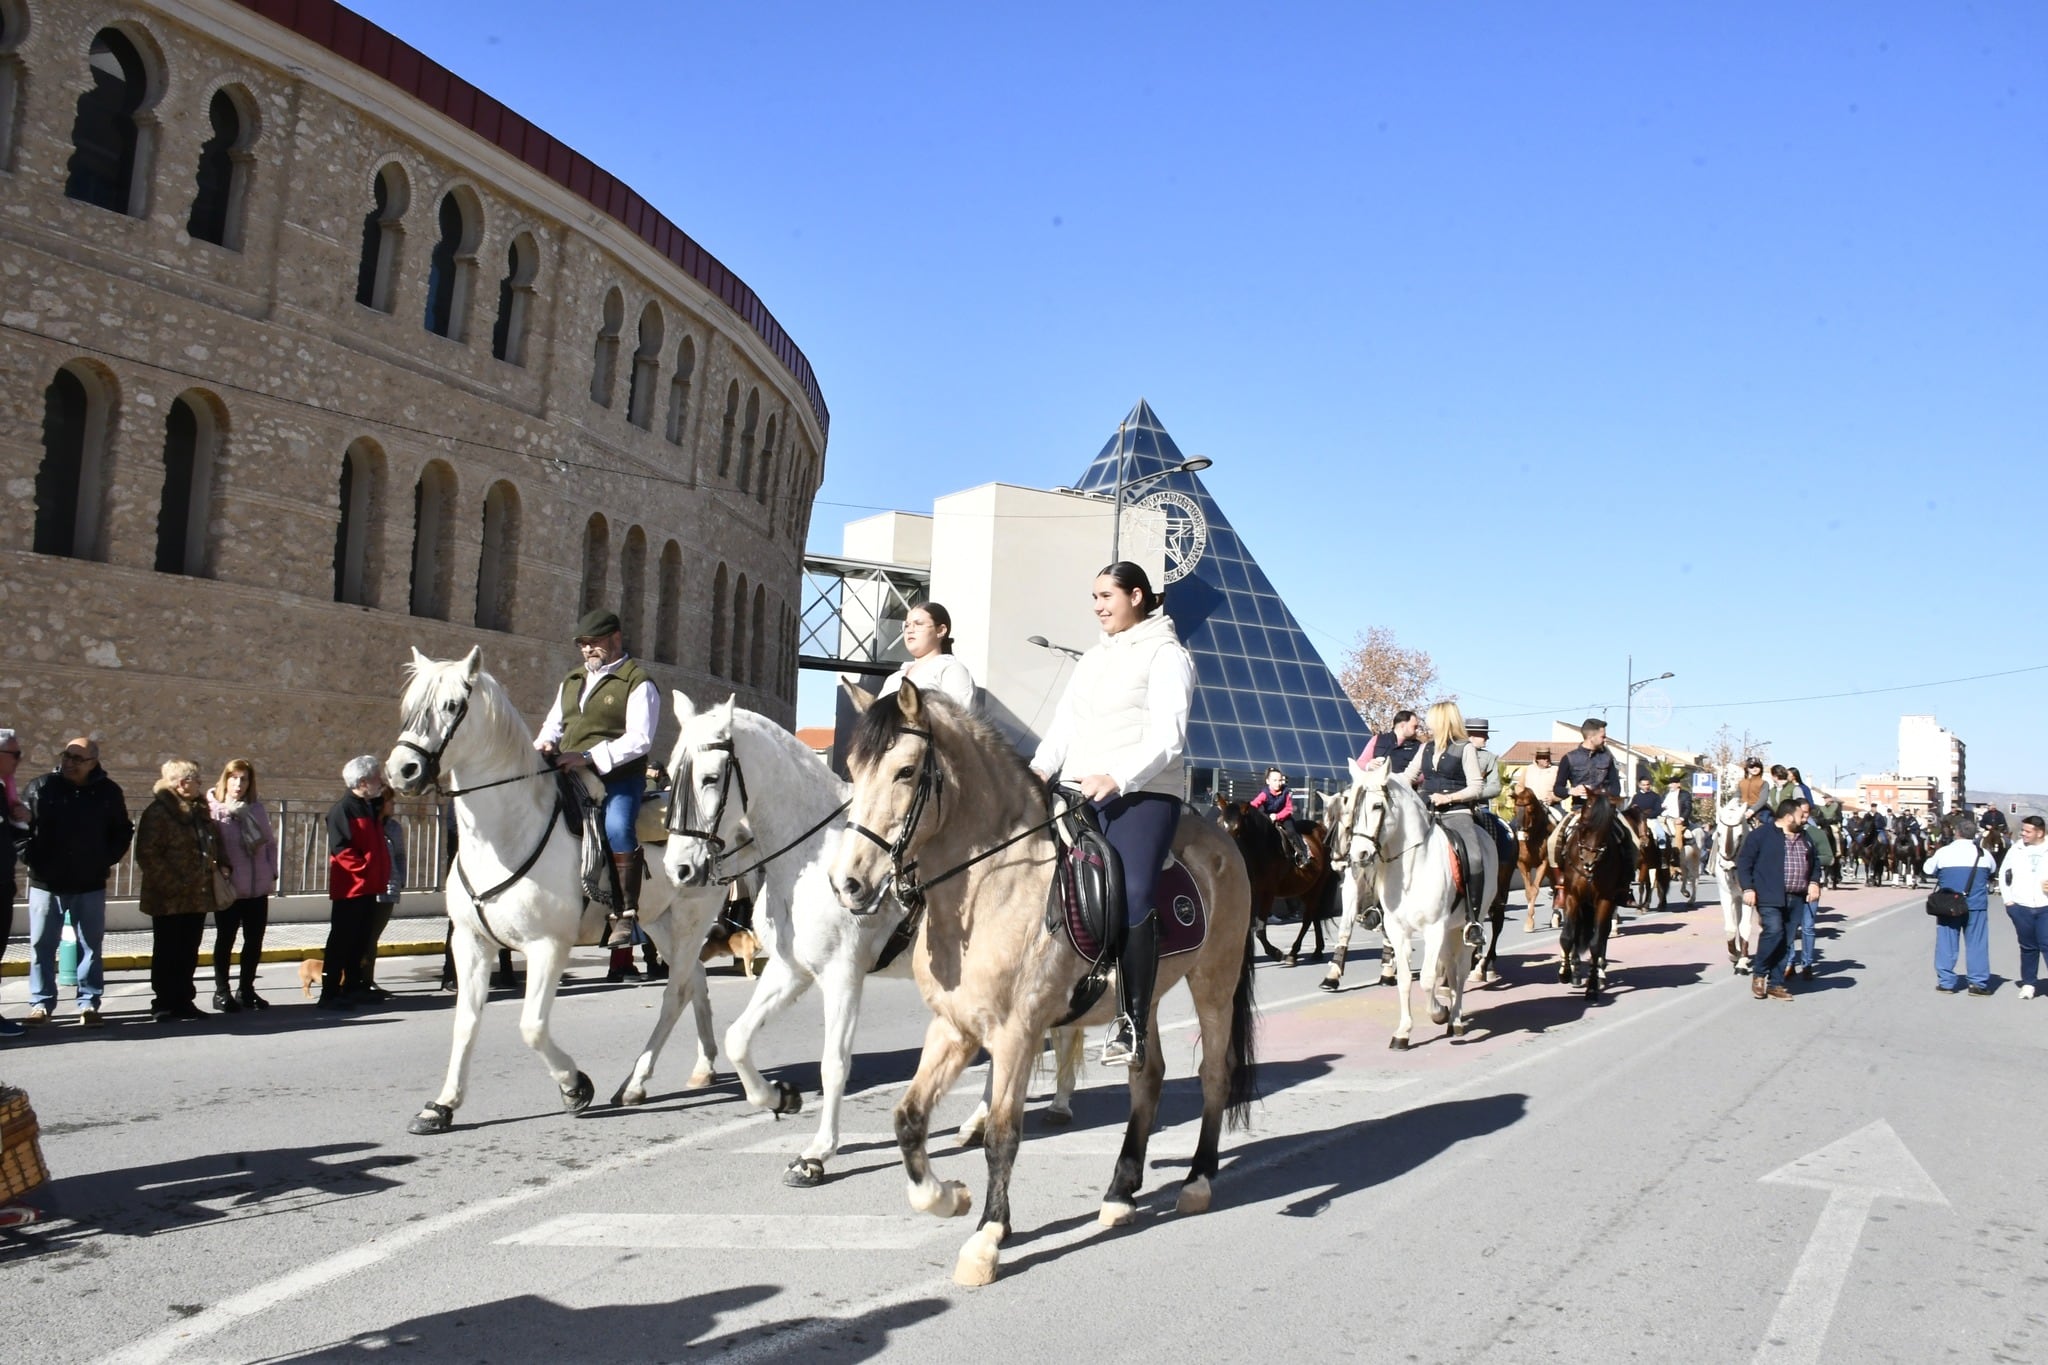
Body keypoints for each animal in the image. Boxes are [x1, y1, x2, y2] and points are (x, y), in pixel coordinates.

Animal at [387, 650, 724, 1129]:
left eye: (452, 705)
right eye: (410, 704)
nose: (403, 770)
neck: (506, 832)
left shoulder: (547, 945)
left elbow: (531, 1026)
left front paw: (575, 1087)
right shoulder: (471, 942)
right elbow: (466, 1021)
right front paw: (443, 1104)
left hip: (692, 919)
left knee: (676, 991)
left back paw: (635, 1083)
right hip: (661, 923)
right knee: (694, 979)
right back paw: (703, 1066)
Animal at [1212, 794, 1343, 965]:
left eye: (1237, 829)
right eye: (1218, 823)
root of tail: (1322, 830)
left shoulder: (1267, 893)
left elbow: (1260, 929)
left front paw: (1275, 952)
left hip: (1318, 886)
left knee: (1308, 917)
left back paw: (1293, 953)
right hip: (1305, 888)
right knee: (1315, 915)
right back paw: (1317, 951)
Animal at [1335, 757, 1466, 1047]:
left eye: (1376, 805)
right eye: (1350, 807)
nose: (1357, 855)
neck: (1414, 865)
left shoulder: (1434, 928)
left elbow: (1427, 979)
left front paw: (1439, 1013)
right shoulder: (1396, 927)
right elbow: (1405, 979)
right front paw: (1403, 1032)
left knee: (1461, 970)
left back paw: (1457, 1019)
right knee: (1451, 967)